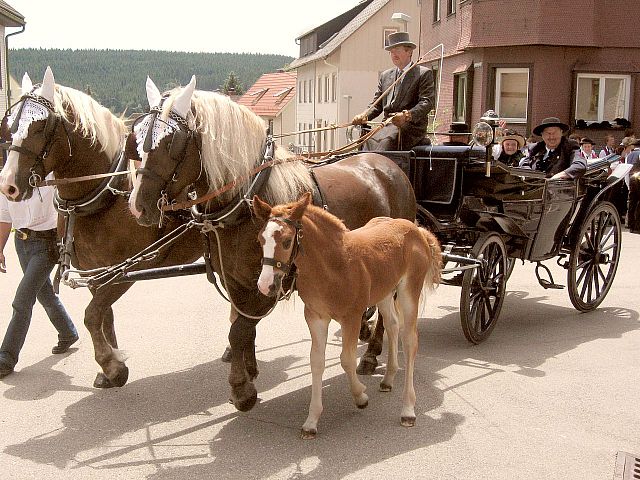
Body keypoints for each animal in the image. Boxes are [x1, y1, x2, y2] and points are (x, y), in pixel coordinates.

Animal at [0, 67, 202, 388]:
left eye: (40, 127)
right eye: (8, 126)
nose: (7, 185)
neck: (108, 193)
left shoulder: (128, 268)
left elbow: (92, 314)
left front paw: (111, 364)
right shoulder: (97, 271)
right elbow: (104, 314)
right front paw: (112, 366)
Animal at [127, 76, 418, 412]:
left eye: (171, 142)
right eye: (138, 137)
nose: (137, 206)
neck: (248, 199)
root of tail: (390, 166)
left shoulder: (268, 283)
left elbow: (238, 330)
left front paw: (241, 389)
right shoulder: (238, 281)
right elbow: (243, 328)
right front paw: (249, 372)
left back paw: (371, 353)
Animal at [252, 192, 442, 438]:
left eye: (286, 241)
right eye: (260, 240)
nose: (265, 285)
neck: (333, 266)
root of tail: (416, 229)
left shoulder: (352, 316)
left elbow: (347, 360)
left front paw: (360, 396)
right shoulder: (315, 317)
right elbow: (316, 361)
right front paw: (311, 421)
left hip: (409, 291)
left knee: (410, 341)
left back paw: (408, 410)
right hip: (384, 292)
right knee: (392, 325)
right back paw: (388, 379)